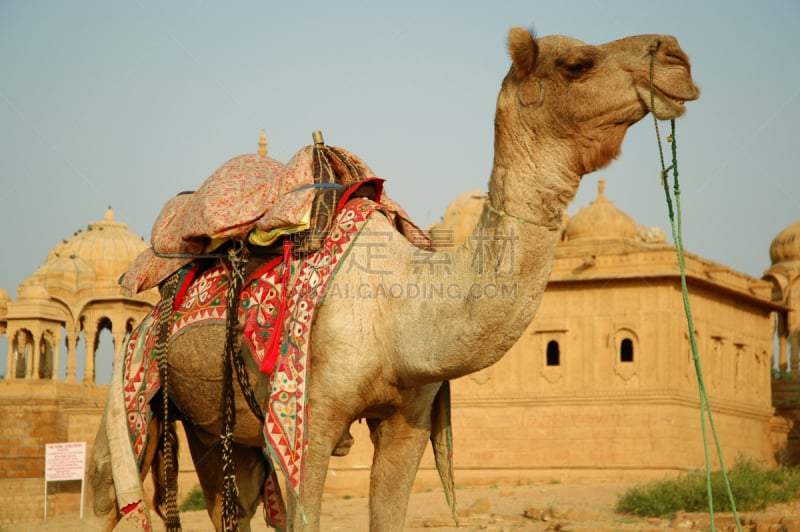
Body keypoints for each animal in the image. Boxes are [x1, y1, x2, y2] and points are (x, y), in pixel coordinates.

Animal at [87, 26, 696, 532]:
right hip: (135, 380)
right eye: (577, 64)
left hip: (214, 427)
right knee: (103, 490)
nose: (677, 56)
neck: (402, 310)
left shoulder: (408, 421)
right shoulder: (306, 420)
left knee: (228, 505)